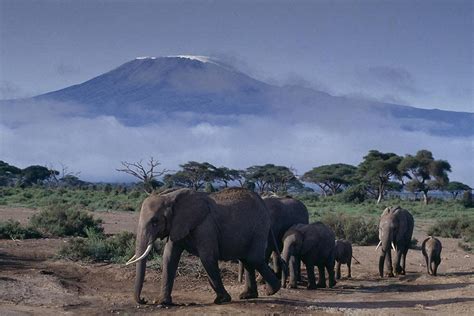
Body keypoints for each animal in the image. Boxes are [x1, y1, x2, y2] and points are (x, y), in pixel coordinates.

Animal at [126, 188, 282, 306]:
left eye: (155, 221)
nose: (144, 300)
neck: (170, 197)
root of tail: (263, 202)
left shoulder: (205, 226)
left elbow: (207, 258)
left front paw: (222, 300)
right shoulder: (177, 225)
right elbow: (169, 257)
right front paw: (162, 302)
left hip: (260, 227)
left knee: (253, 259)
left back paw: (272, 291)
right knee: (247, 260)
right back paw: (248, 296)